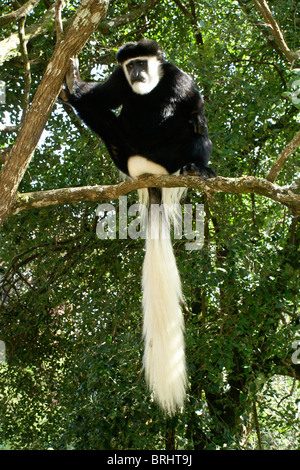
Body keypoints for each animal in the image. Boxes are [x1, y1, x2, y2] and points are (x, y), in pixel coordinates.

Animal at [62, 39, 213, 414]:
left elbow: (194, 105)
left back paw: (198, 167)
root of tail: (149, 173)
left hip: (170, 157)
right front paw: (73, 80)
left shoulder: (178, 78)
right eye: (130, 67)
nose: (138, 75)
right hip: (127, 155)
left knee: (193, 129)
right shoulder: (119, 81)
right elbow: (100, 97)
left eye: (142, 63)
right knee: (103, 118)